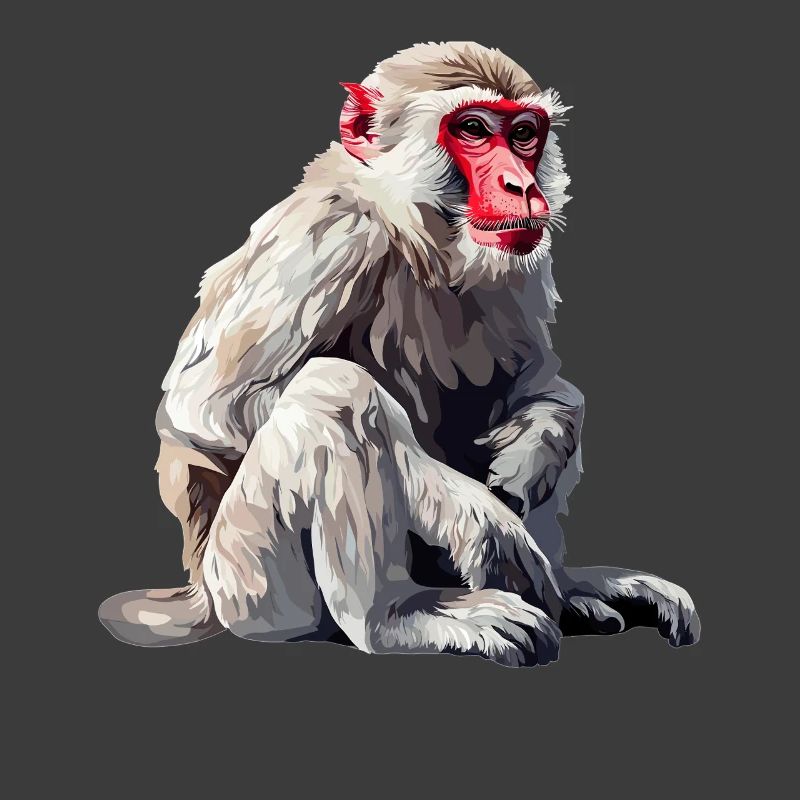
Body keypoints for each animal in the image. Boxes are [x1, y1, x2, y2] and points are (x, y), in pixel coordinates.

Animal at [99, 42, 700, 666]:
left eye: (523, 134)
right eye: (473, 129)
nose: (520, 185)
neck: (418, 232)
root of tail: (202, 594)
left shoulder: (520, 260)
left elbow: (541, 384)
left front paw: (535, 447)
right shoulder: (330, 236)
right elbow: (206, 411)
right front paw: (470, 511)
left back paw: (570, 590)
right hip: (251, 585)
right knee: (334, 393)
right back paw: (397, 617)